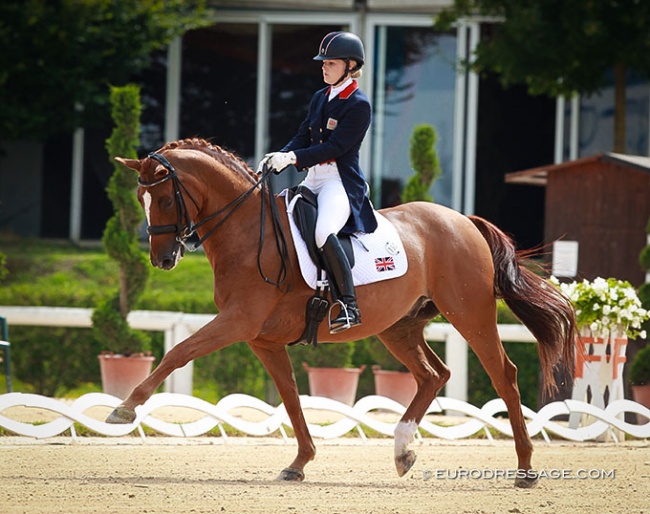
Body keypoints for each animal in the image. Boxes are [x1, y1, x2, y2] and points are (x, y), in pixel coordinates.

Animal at [107, 136, 576, 484]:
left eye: (165, 200)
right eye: (140, 198)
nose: (162, 259)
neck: (246, 230)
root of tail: (464, 221)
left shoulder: (237, 322)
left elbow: (178, 352)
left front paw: (125, 408)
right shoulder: (262, 339)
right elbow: (291, 397)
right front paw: (299, 464)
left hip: (470, 313)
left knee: (503, 374)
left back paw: (525, 469)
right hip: (397, 326)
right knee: (434, 375)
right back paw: (403, 451)